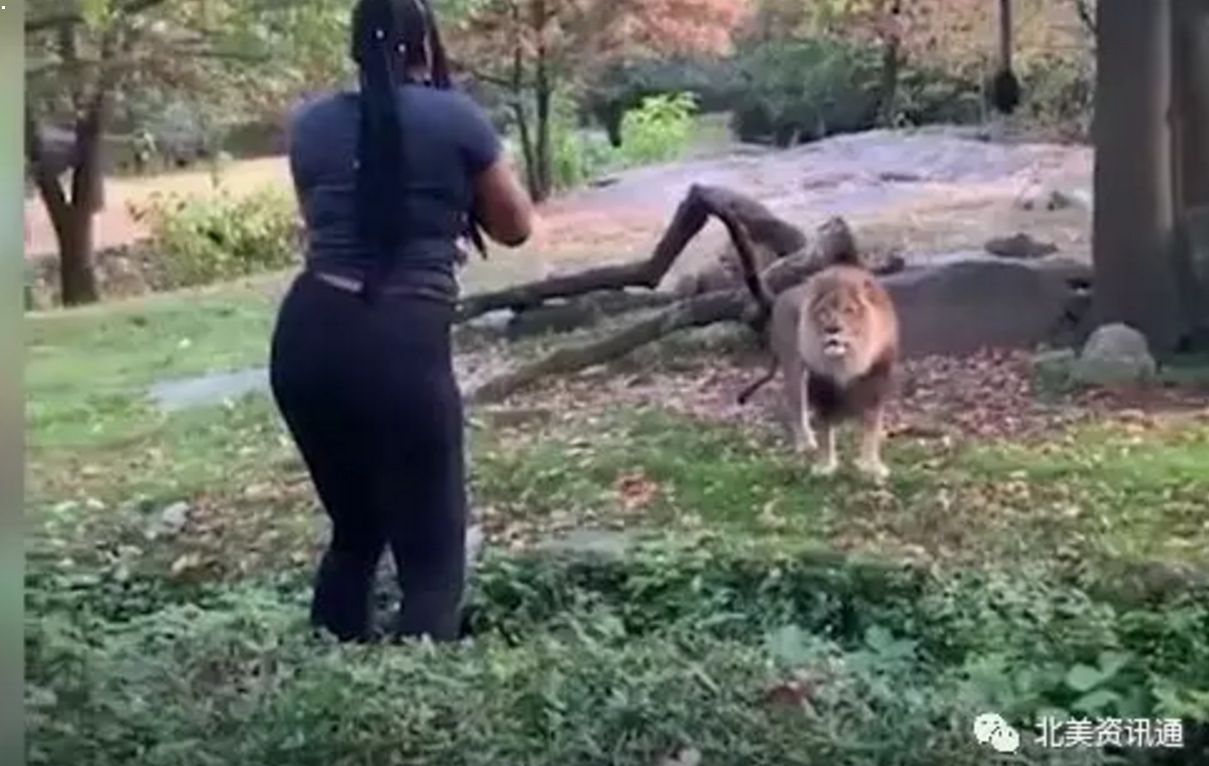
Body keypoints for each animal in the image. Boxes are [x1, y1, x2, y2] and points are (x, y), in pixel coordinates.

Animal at [735, 224, 899, 478]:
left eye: (849, 310)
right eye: (823, 312)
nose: (832, 328)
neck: (848, 360)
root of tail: (779, 298)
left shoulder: (876, 383)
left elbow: (872, 428)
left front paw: (872, 466)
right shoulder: (821, 387)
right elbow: (824, 429)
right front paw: (825, 466)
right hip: (794, 367)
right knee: (795, 406)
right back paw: (805, 444)